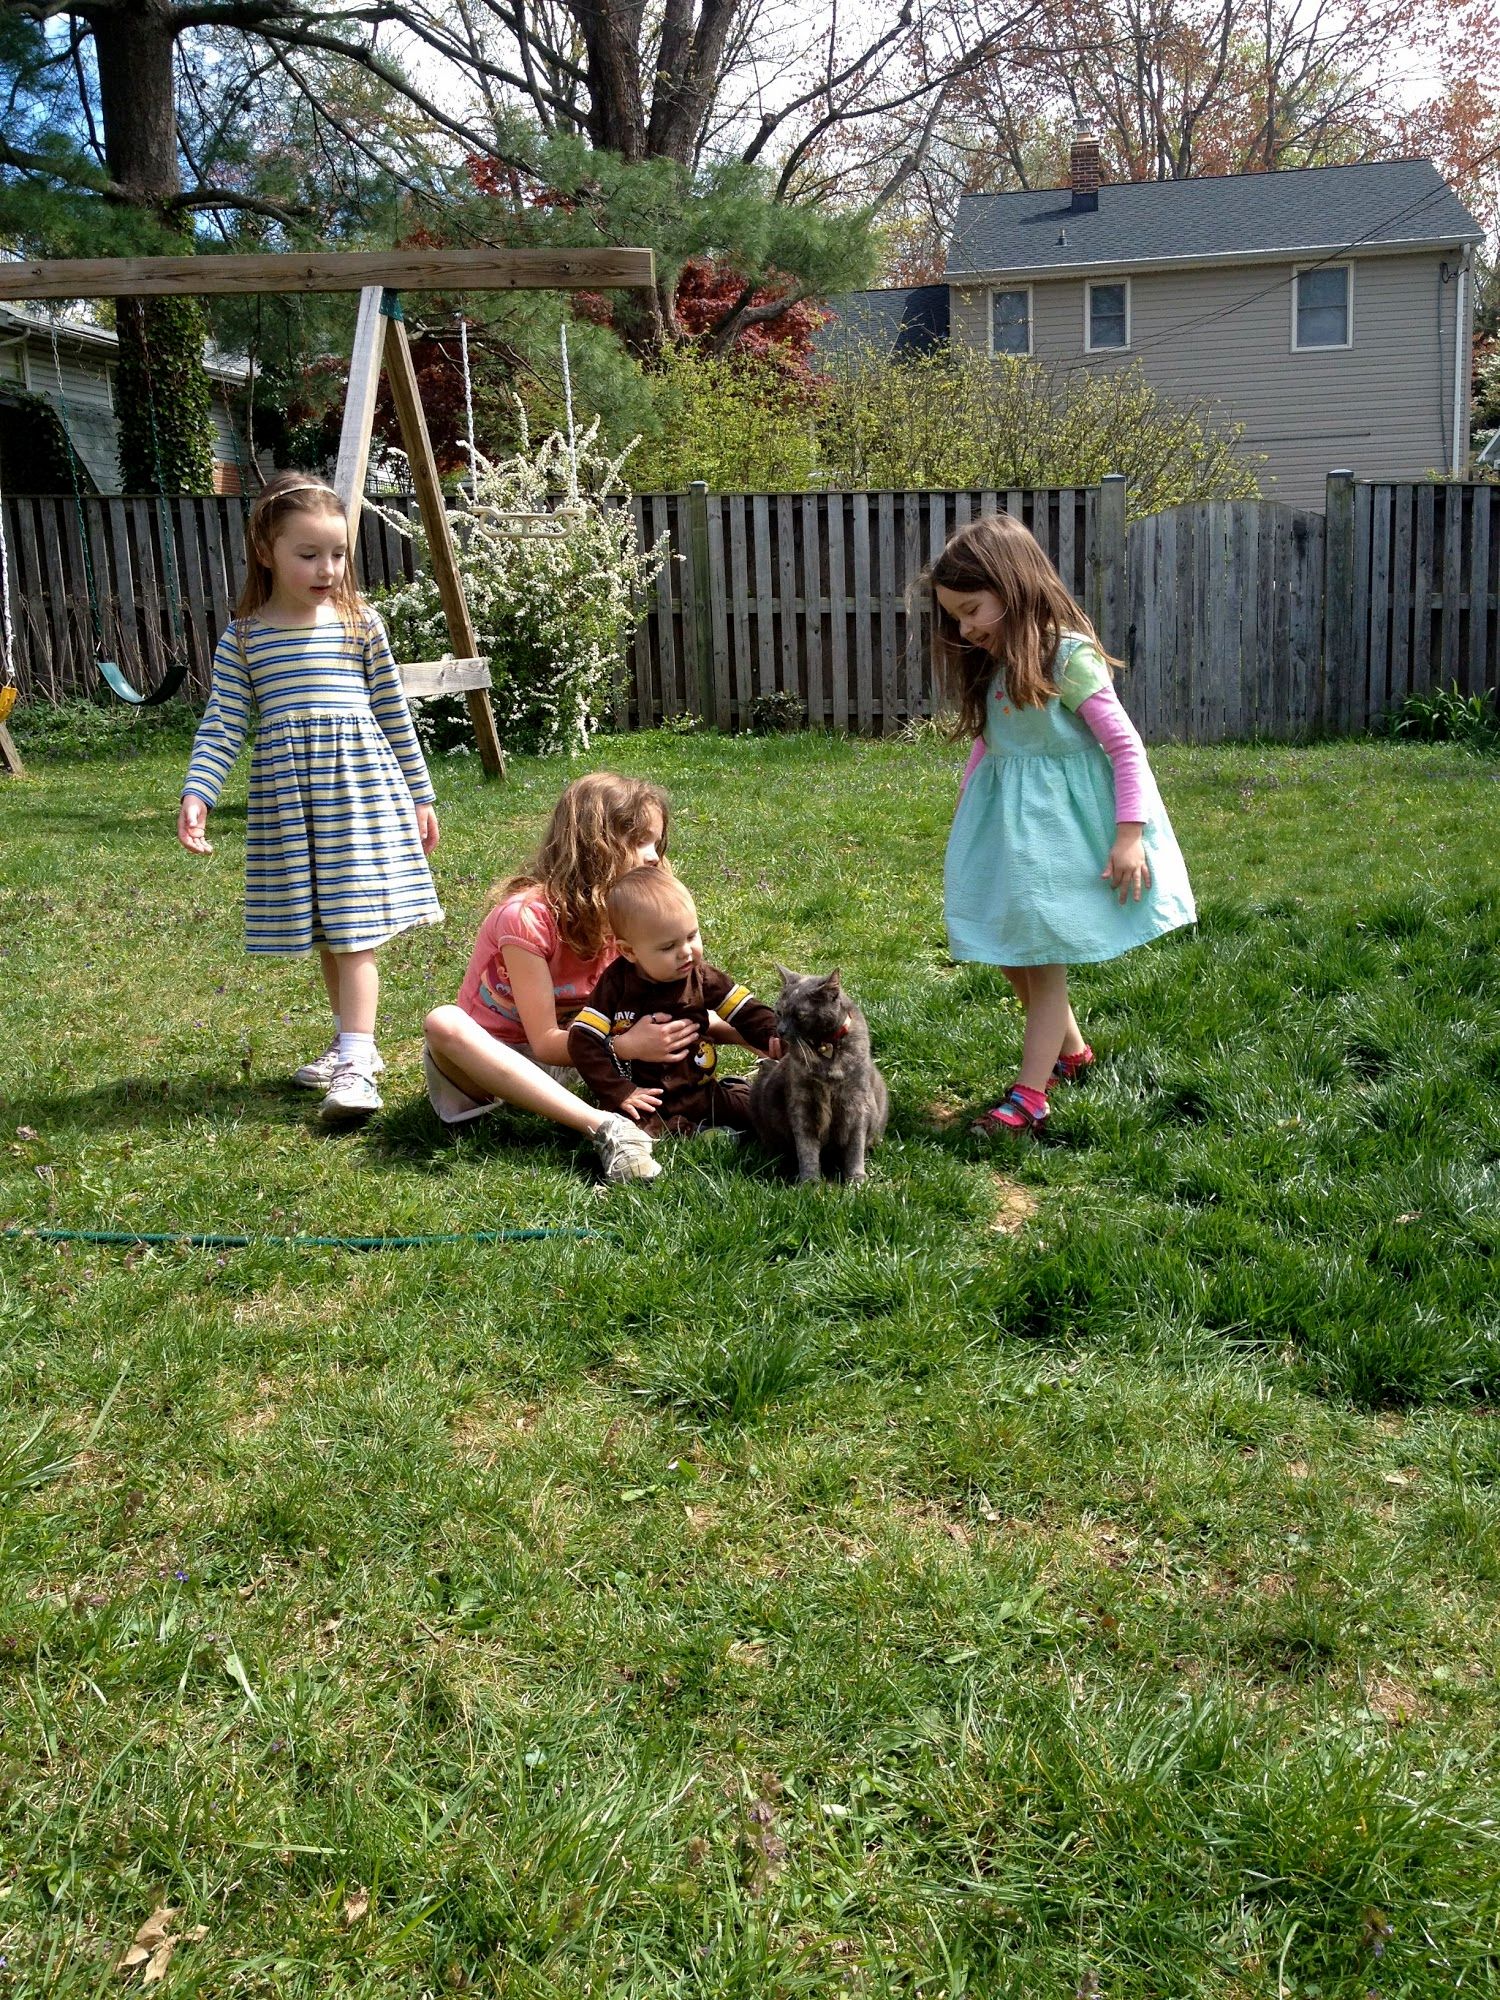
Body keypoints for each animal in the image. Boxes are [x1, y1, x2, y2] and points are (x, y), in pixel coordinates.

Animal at [748, 972, 888, 1176]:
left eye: (800, 1015)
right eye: (779, 1012)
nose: (780, 1031)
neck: (826, 1049)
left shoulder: (857, 1102)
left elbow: (855, 1145)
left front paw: (856, 1177)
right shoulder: (802, 1102)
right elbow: (806, 1148)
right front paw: (810, 1180)